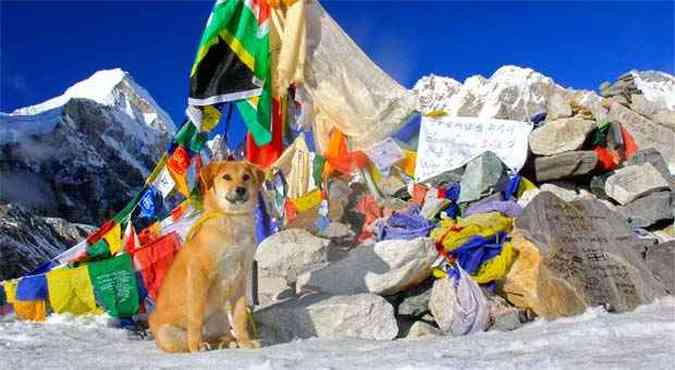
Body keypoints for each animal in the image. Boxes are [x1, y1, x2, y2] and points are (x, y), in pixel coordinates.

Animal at [150, 160, 264, 352]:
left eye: (246, 177)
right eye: (226, 177)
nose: (240, 189)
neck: (232, 220)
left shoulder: (240, 278)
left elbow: (240, 317)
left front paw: (245, 342)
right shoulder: (199, 274)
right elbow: (195, 316)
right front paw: (196, 346)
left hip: (219, 318)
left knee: (217, 336)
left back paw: (227, 342)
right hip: (169, 332)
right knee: (185, 343)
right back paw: (200, 344)